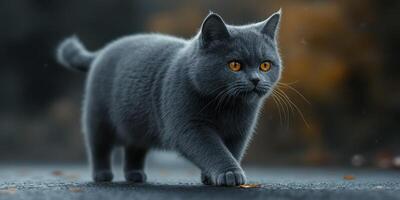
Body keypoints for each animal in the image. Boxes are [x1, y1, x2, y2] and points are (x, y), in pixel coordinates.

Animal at [55, 10, 282, 186]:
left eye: (265, 65)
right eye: (234, 65)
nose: (255, 79)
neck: (228, 107)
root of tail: (102, 51)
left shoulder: (240, 132)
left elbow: (232, 151)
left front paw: (211, 177)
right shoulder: (190, 126)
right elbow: (213, 149)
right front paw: (230, 174)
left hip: (137, 124)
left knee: (134, 148)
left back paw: (135, 175)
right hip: (98, 117)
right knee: (98, 146)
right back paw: (102, 175)